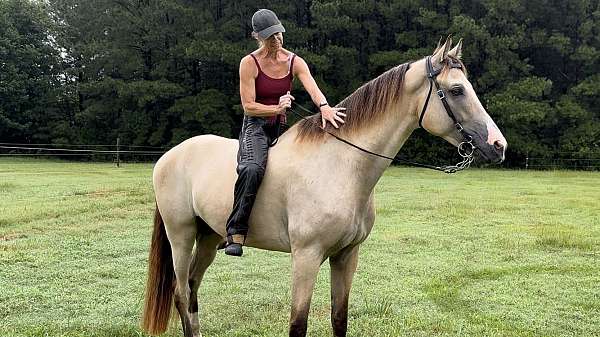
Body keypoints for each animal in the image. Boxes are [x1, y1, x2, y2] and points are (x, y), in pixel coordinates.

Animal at [139, 36, 506, 336]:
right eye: (457, 90)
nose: (498, 145)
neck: (341, 165)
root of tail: (171, 156)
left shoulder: (346, 256)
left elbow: (339, 319)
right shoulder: (306, 257)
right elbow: (298, 324)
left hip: (208, 237)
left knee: (192, 289)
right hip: (181, 236)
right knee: (182, 294)